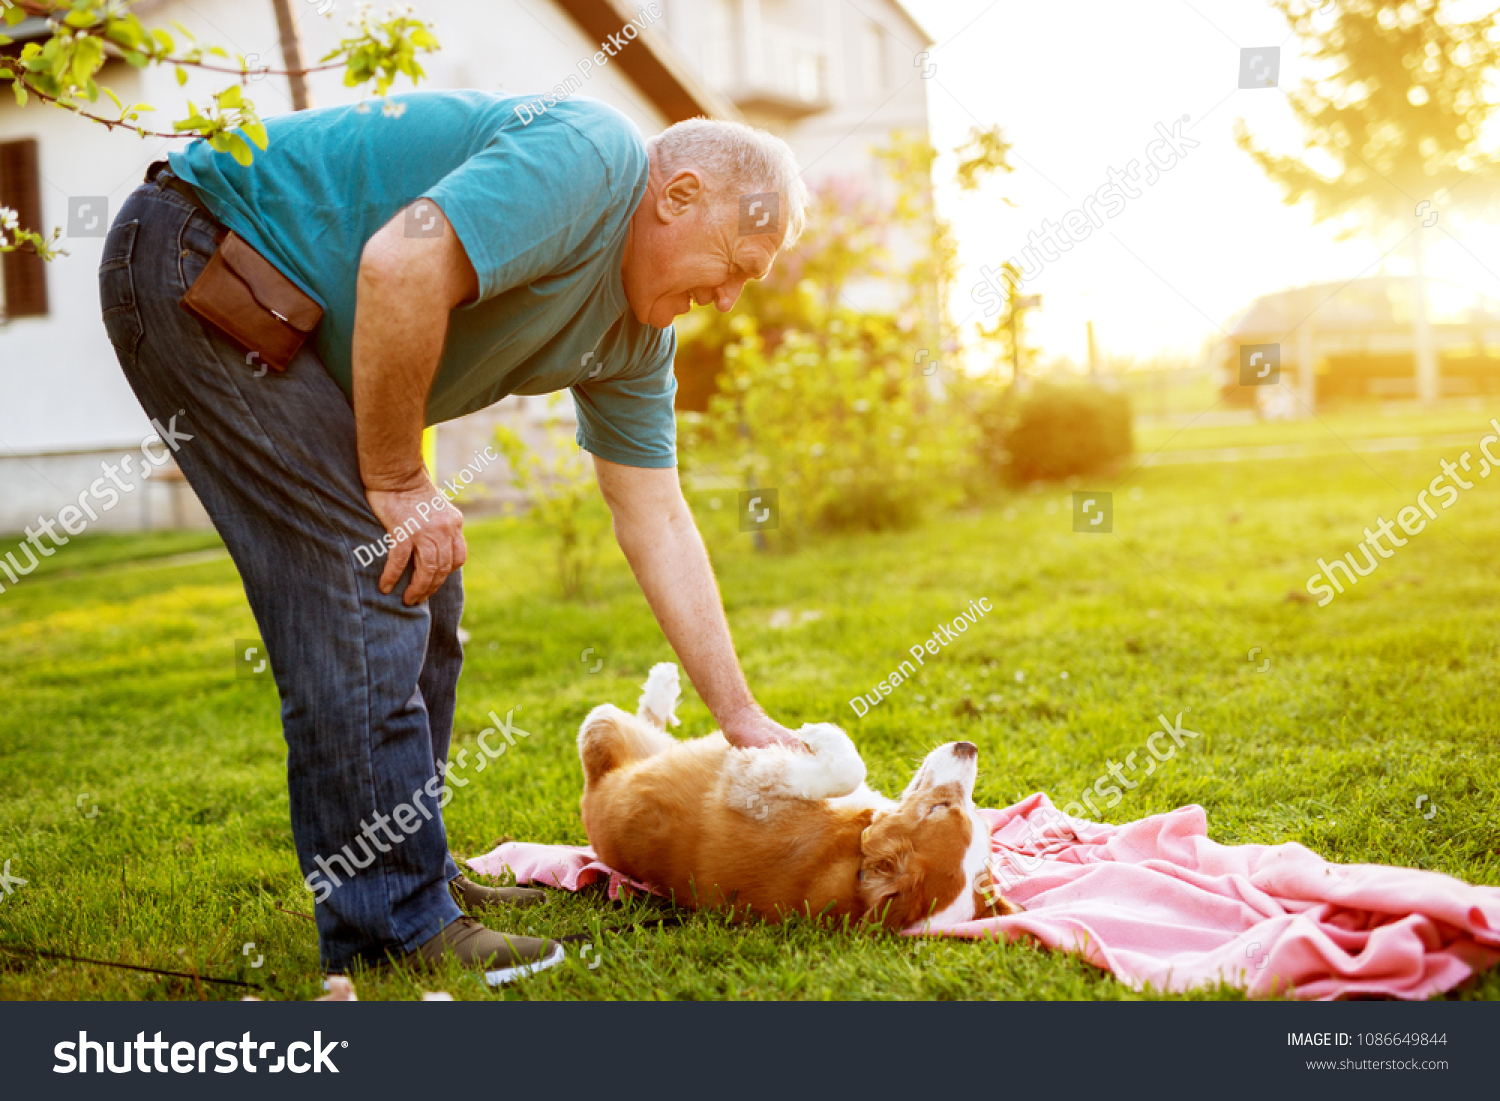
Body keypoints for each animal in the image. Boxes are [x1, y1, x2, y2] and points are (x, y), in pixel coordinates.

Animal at [573, 663, 1020, 930]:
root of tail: (592, 791)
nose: (968, 747)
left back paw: (661, 687)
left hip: (604, 726)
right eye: (954, 808)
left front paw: (817, 734)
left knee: (629, 721)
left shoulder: (746, 786)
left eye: (937, 808)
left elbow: (842, 767)